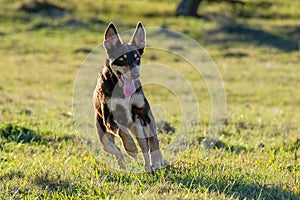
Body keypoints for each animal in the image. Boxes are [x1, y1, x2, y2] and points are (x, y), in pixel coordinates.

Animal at [94, 22, 164, 172]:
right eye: (121, 58)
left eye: (137, 58)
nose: (135, 75)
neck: (121, 90)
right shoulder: (109, 118)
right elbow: (122, 132)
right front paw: (131, 148)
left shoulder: (145, 113)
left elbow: (153, 139)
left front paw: (157, 160)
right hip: (103, 136)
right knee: (116, 150)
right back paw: (124, 163)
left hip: (138, 128)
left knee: (144, 147)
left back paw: (148, 167)